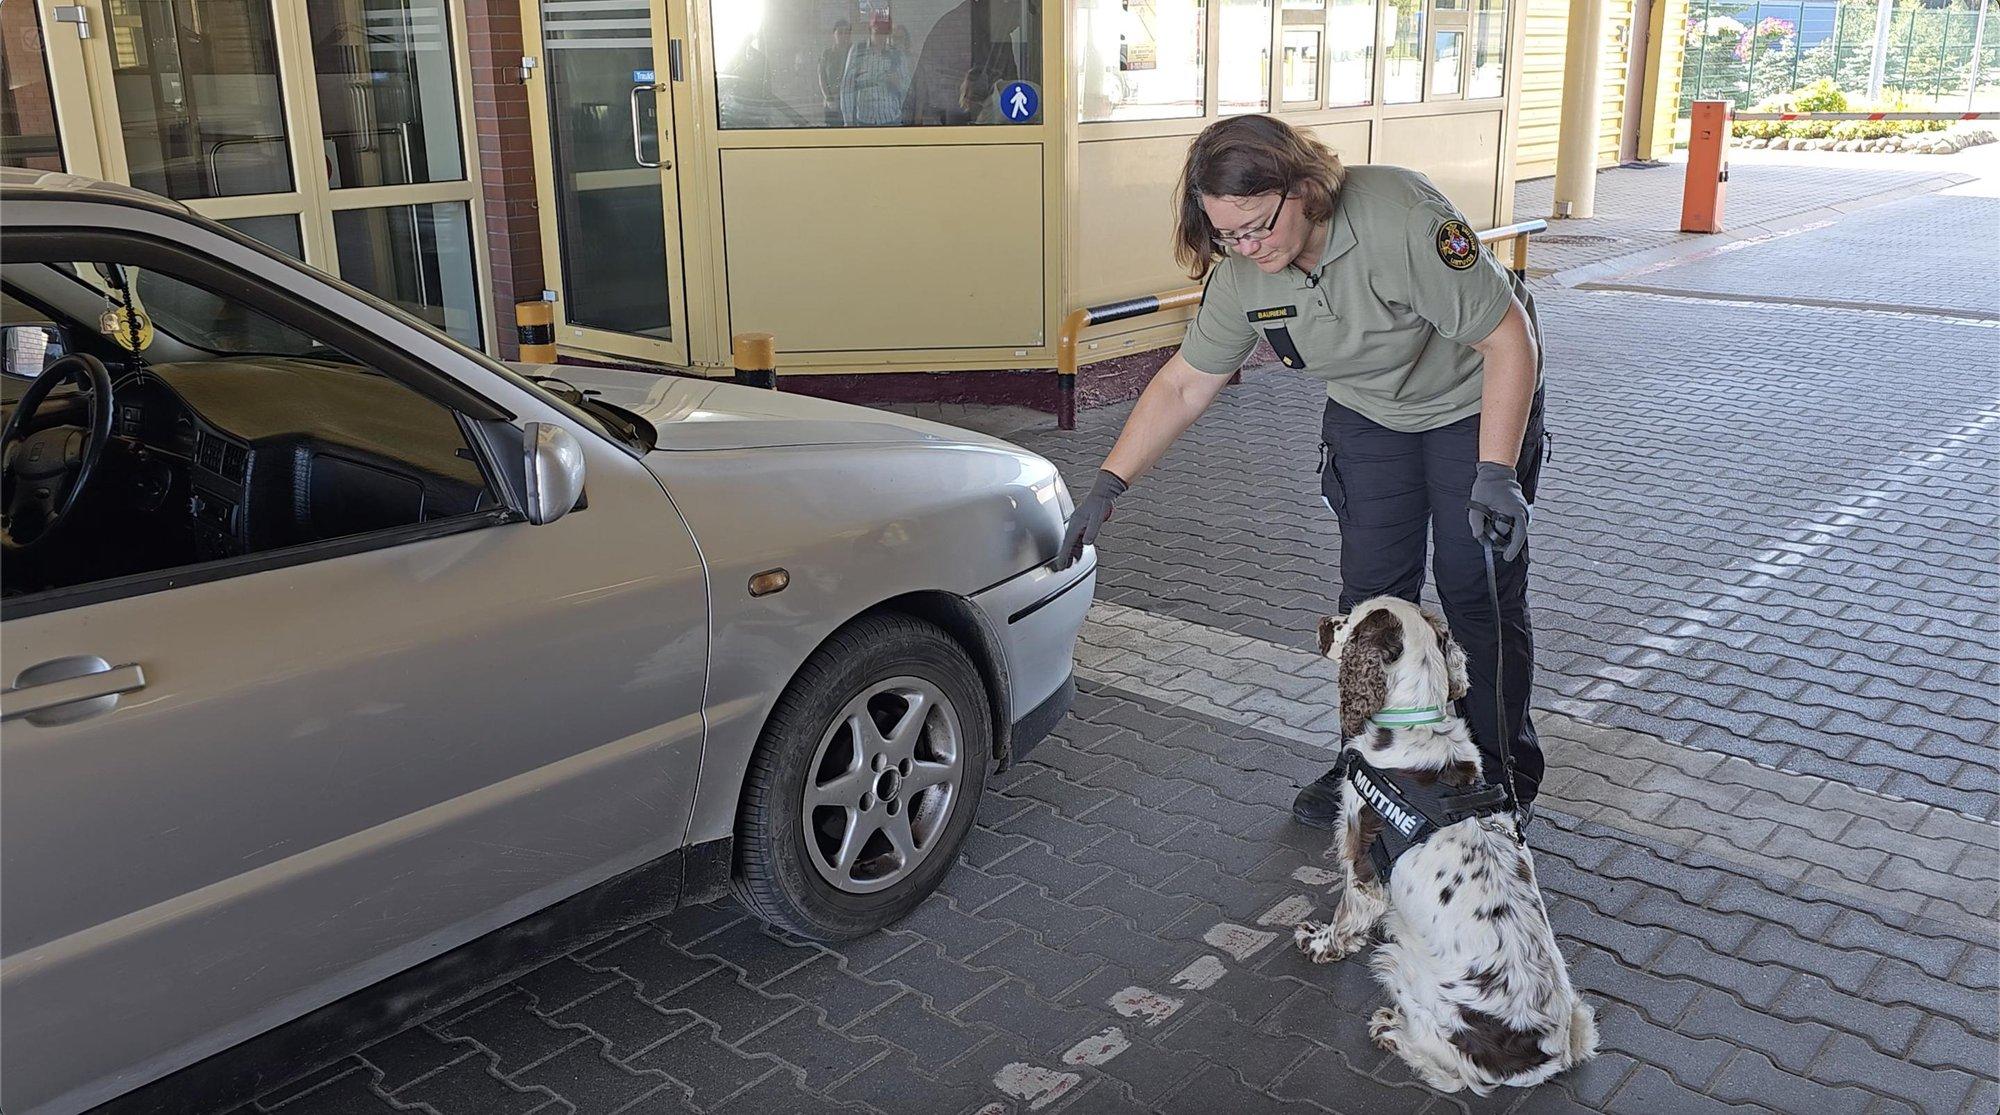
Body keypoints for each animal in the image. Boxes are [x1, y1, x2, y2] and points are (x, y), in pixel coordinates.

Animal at [1288, 599, 1600, 1095]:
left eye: (1350, 622)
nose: (1321, 623)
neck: (1416, 718)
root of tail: (1545, 1058)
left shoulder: (1361, 859)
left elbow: (1345, 914)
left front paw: (1321, 944)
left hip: (1401, 962)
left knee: (1454, 1071)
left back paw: (1391, 1030)